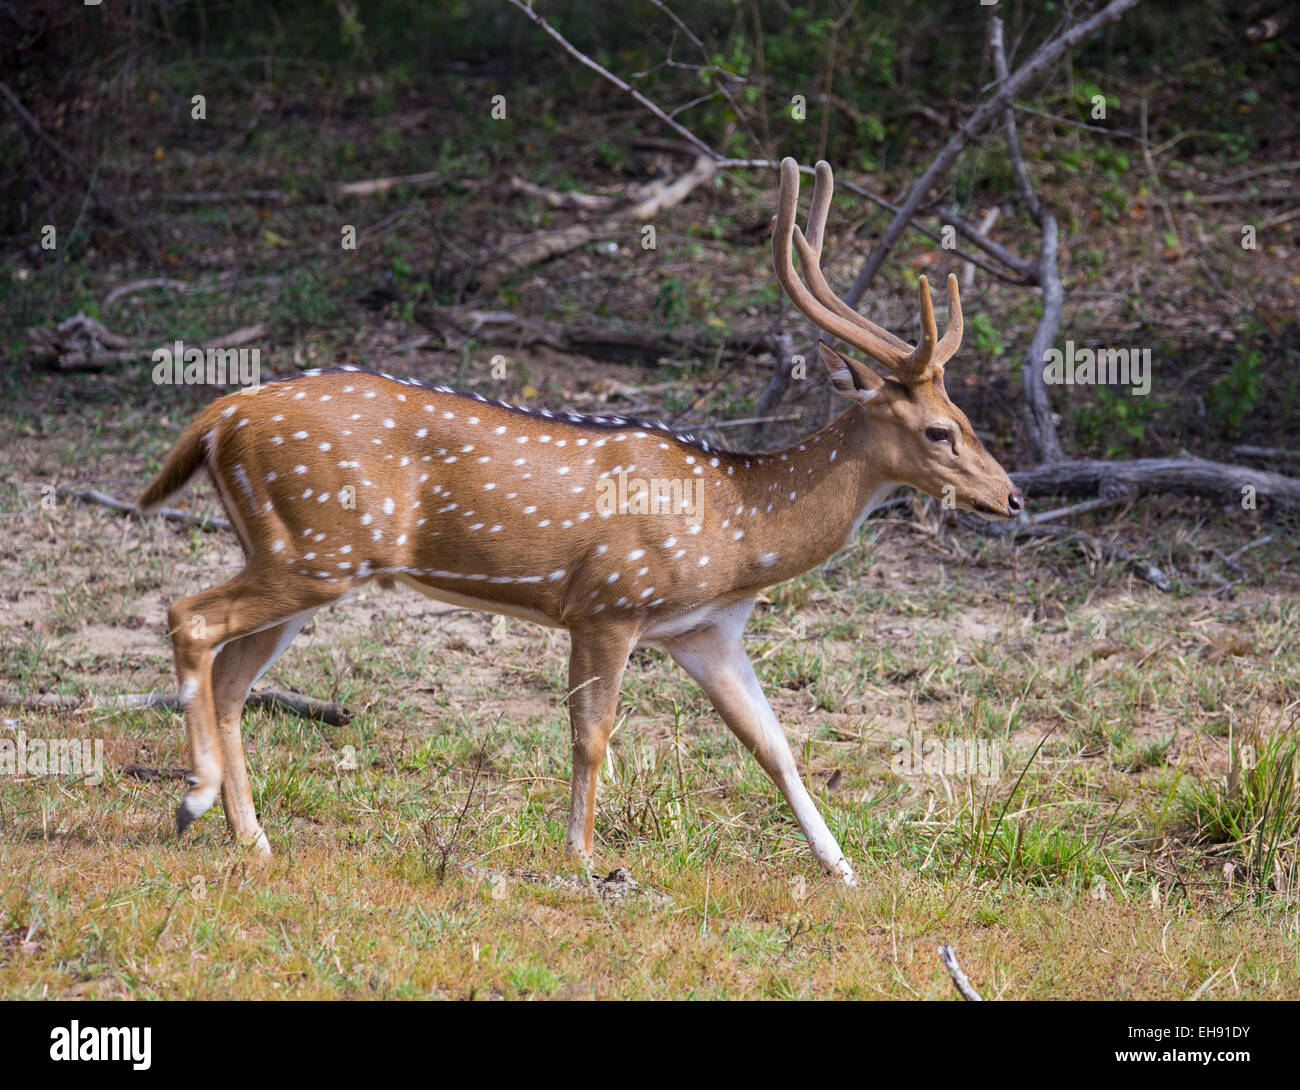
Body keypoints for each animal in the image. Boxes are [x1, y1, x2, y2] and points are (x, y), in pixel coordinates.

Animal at [139, 158, 1013, 889]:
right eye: (940, 430)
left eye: (970, 417)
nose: (1010, 497)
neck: (738, 527)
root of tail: (219, 416)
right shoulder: (608, 602)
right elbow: (593, 734)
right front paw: (585, 856)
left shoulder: (706, 629)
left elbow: (775, 744)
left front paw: (841, 867)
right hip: (315, 548)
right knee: (189, 616)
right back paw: (194, 801)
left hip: (306, 557)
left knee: (233, 677)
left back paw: (252, 838)